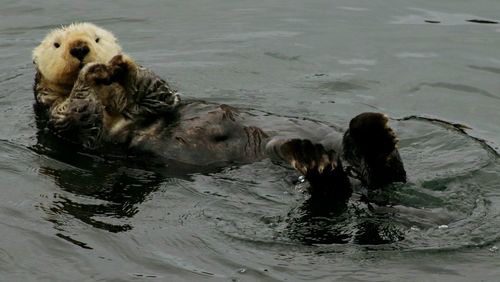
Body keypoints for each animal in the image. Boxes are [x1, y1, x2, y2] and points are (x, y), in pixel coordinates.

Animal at [32, 23, 406, 200]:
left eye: (96, 38)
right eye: (57, 44)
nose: (80, 48)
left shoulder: (160, 99)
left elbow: (159, 93)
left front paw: (122, 67)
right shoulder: (59, 120)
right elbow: (76, 116)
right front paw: (91, 75)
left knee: (384, 175)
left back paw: (369, 135)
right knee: (337, 189)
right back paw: (317, 160)